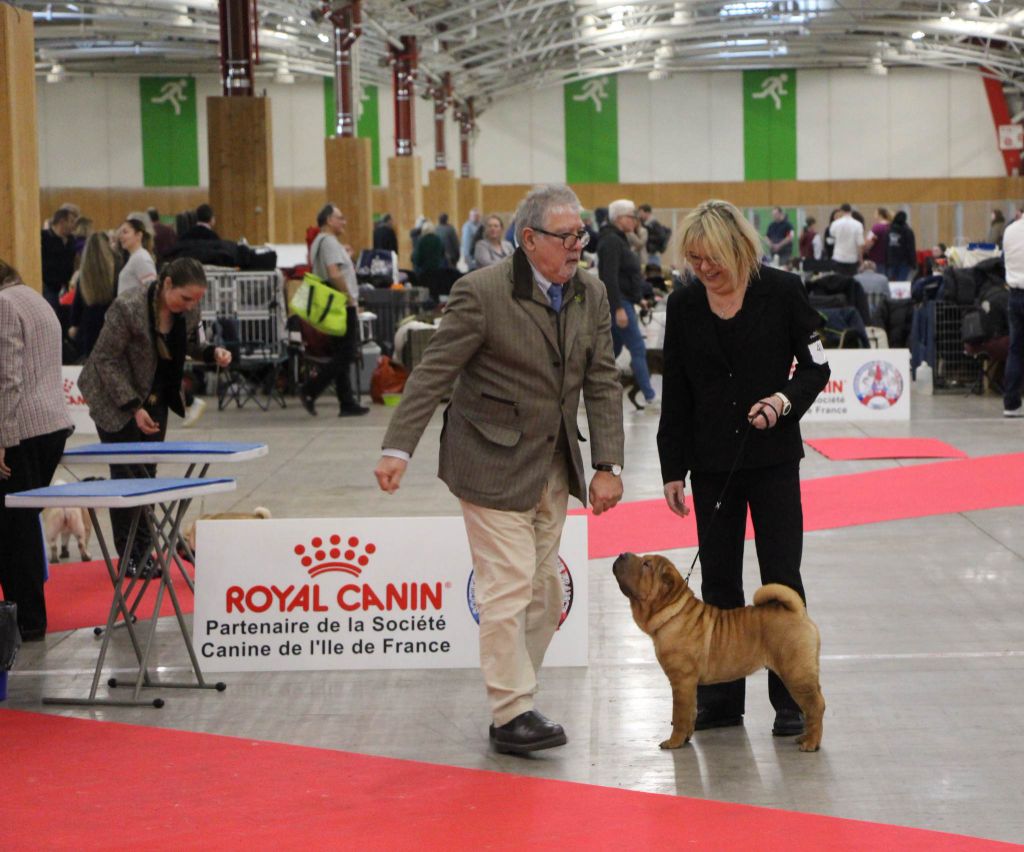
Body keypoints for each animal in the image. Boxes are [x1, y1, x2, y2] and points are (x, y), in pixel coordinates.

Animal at [614, 552, 823, 753]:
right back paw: (804, 738)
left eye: (646, 565)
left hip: (796, 673)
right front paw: (686, 737)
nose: (622, 554)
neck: (673, 613)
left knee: (815, 706)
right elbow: (690, 712)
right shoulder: (689, 685)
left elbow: (679, 715)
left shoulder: (682, 680)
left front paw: (674, 742)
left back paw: (810, 743)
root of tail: (797, 612)